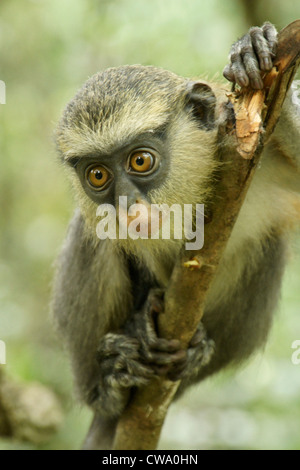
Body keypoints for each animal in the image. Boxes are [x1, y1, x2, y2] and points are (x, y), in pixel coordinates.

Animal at [51, 23, 300, 450]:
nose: (126, 205)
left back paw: (196, 351)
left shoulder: (268, 161)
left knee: (268, 245)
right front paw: (141, 321)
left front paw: (254, 54)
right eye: (97, 175)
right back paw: (108, 389)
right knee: (91, 234)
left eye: (140, 160)